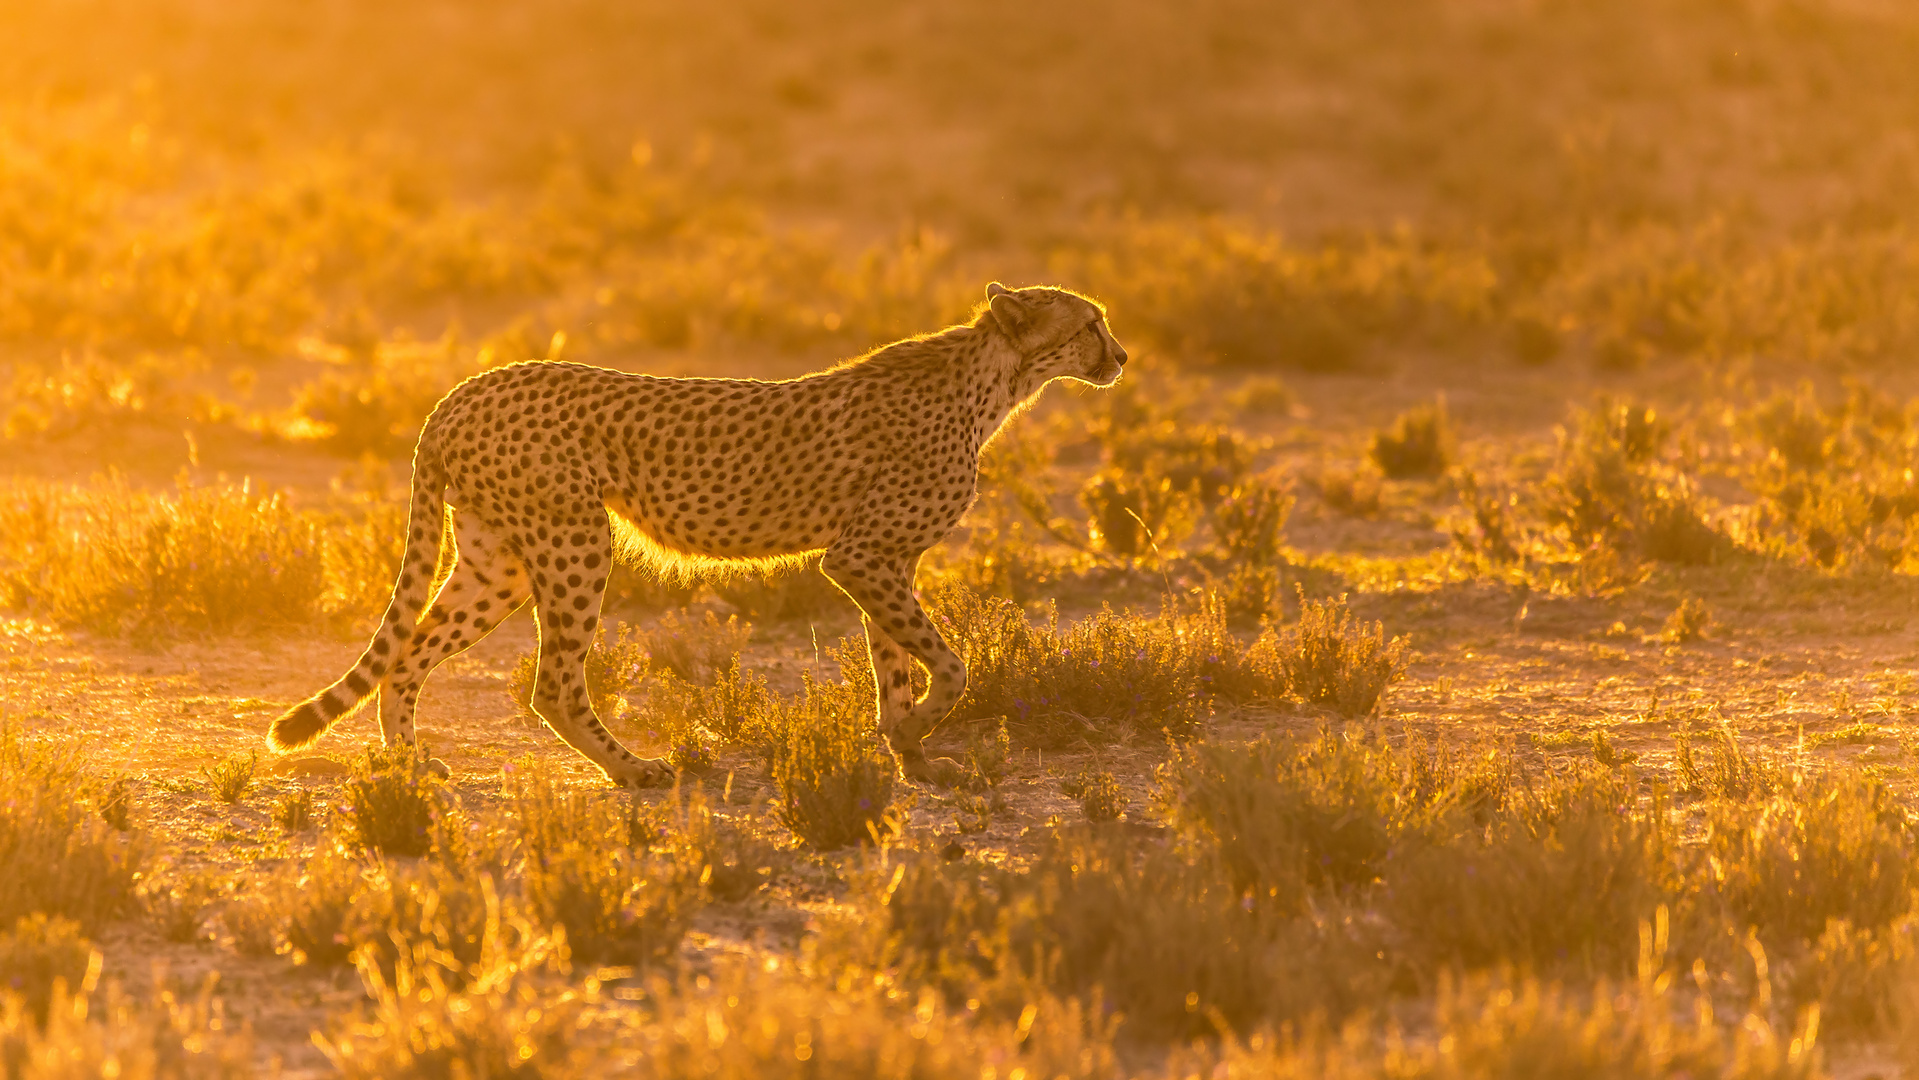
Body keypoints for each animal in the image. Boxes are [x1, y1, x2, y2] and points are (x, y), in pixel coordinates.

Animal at [270, 283, 1120, 790]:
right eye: (1089, 323)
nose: (1120, 356)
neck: (993, 380)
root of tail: (467, 385)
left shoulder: (883, 560)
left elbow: (897, 665)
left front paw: (909, 753)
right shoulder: (861, 556)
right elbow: (952, 664)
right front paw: (911, 732)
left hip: (496, 562)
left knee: (406, 656)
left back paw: (408, 762)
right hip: (576, 542)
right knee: (552, 683)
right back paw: (634, 770)